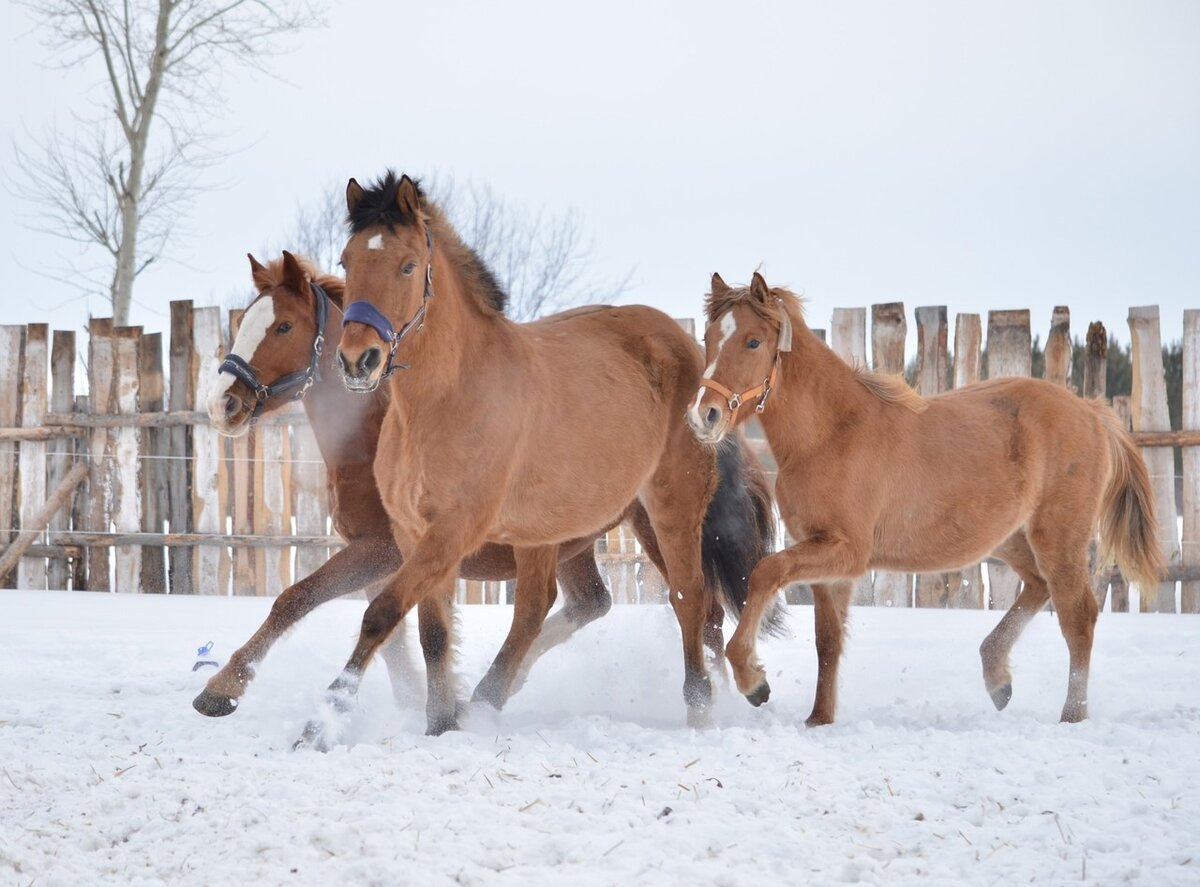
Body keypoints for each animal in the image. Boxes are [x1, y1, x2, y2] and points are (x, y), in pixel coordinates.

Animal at [691, 272, 1166, 729]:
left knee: (1078, 615)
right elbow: (828, 642)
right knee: (1039, 586)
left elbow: (767, 572)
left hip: (1058, 537)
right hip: (1008, 539)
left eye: (753, 341)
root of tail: (1093, 413)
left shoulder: (848, 552)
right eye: (710, 337)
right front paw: (818, 719)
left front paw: (754, 680)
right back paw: (998, 678)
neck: (831, 434)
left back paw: (1071, 715)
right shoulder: (827, 561)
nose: (704, 415)